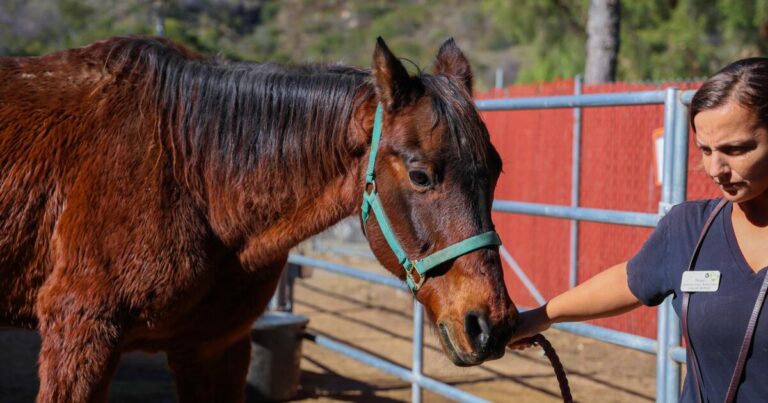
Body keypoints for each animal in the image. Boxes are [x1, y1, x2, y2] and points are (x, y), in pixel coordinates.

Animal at [0, 36, 520, 402]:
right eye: (420, 174)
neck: (187, 167)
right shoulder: (80, 336)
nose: (489, 324)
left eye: (496, 170)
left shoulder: (216, 347)